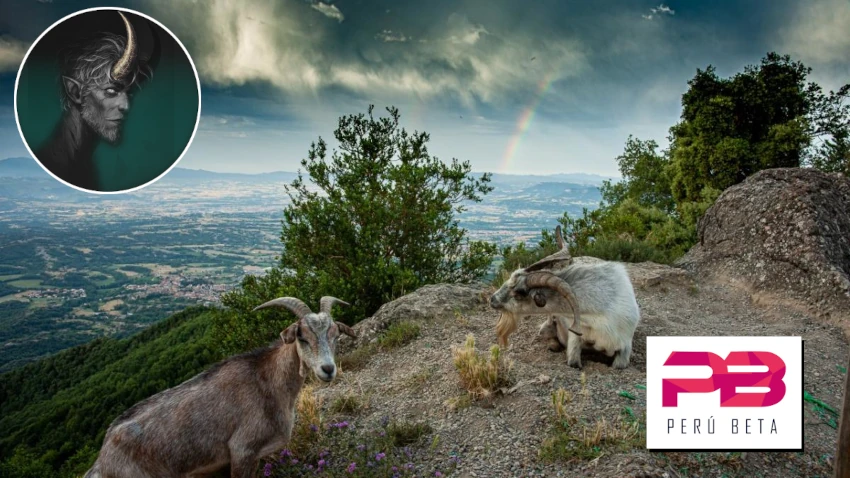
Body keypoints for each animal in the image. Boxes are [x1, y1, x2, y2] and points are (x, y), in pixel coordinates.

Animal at [83, 296, 354, 478]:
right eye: (302, 336)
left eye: (334, 335)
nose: (327, 369)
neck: (267, 381)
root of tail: (102, 460)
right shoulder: (242, 450)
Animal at [486, 225, 640, 370]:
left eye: (519, 294)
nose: (492, 300)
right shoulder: (575, 336)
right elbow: (573, 362)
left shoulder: (625, 347)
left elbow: (619, 365)